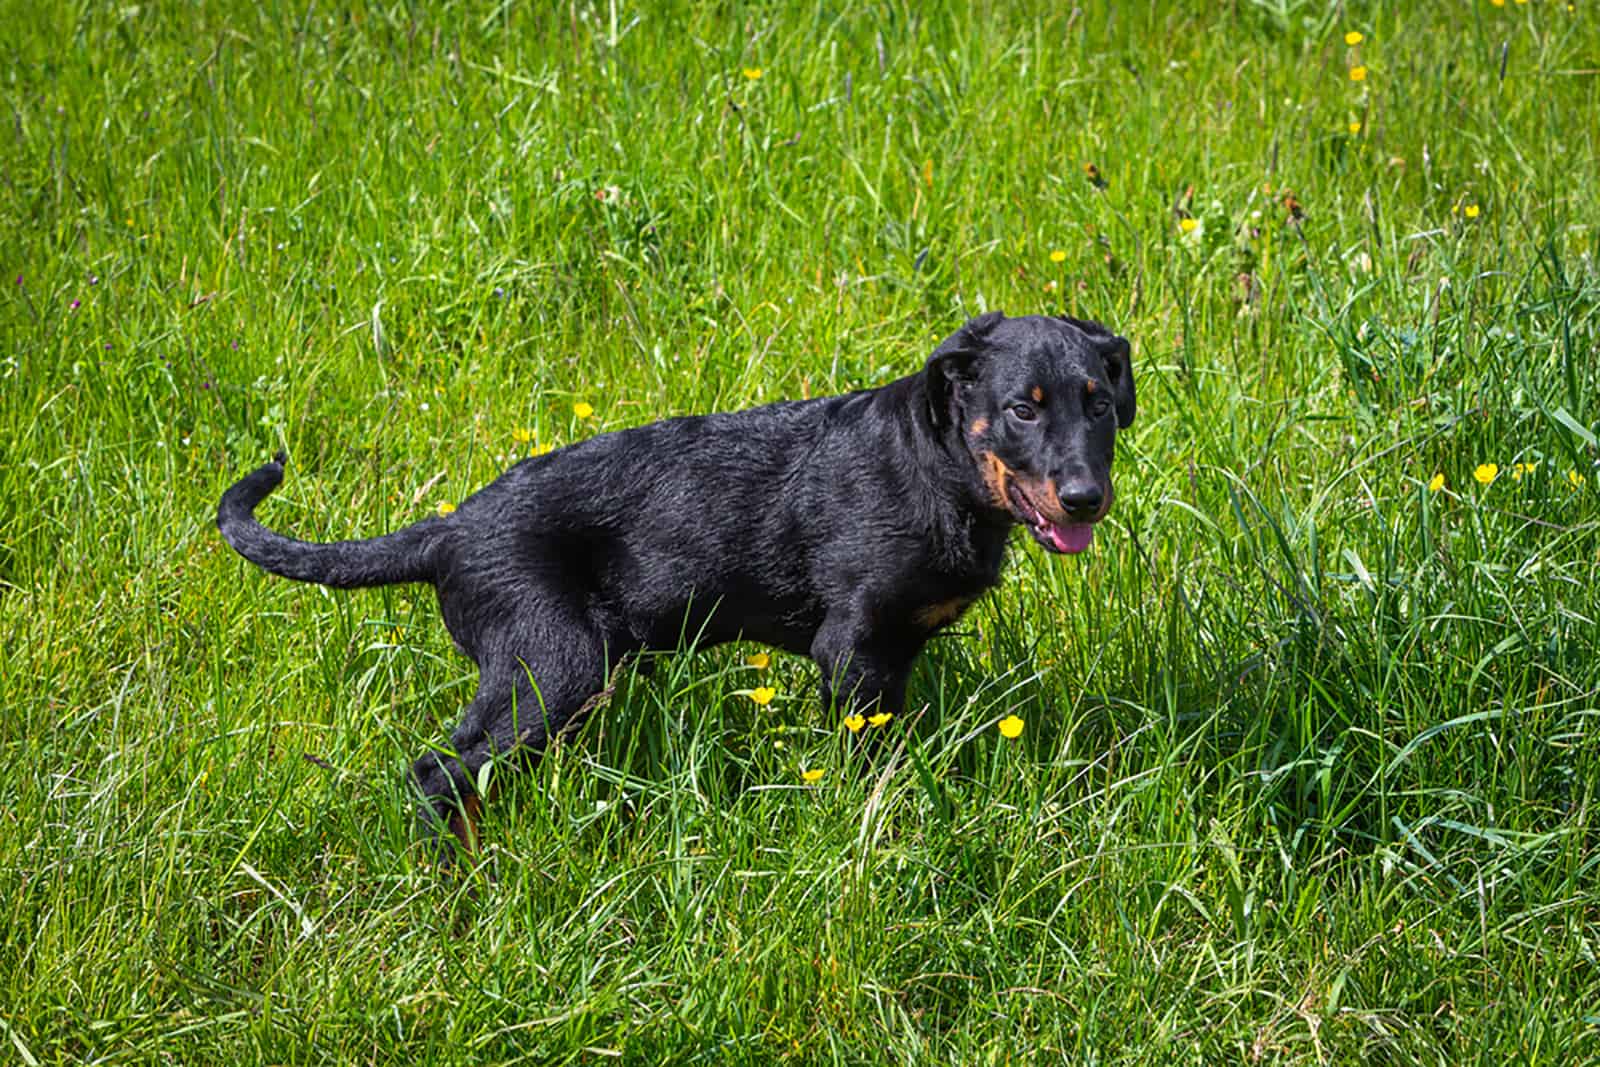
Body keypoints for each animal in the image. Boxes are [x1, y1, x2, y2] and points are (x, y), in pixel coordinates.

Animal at [216, 313, 1139, 844]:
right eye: (1022, 408)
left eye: (1099, 401)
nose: (1086, 498)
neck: (940, 470)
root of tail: (448, 529)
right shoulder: (854, 645)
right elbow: (868, 761)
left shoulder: (897, 651)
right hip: (549, 663)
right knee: (442, 771)